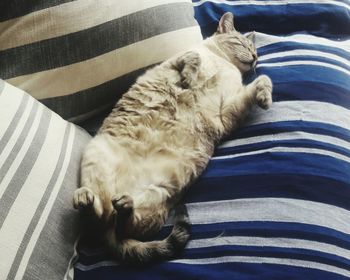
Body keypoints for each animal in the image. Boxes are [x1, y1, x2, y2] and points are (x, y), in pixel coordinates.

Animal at [72, 12, 272, 264]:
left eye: (255, 52)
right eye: (243, 44)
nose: (255, 57)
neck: (223, 62)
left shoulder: (226, 113)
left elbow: (263, 79)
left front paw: (265, 97)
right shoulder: (175, 60)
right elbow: (193, 57)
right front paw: (189, 78)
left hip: (160, 196)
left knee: (121, 224)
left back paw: (123, 206)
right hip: (97, 157)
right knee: (99, 218)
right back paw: (86, 199)